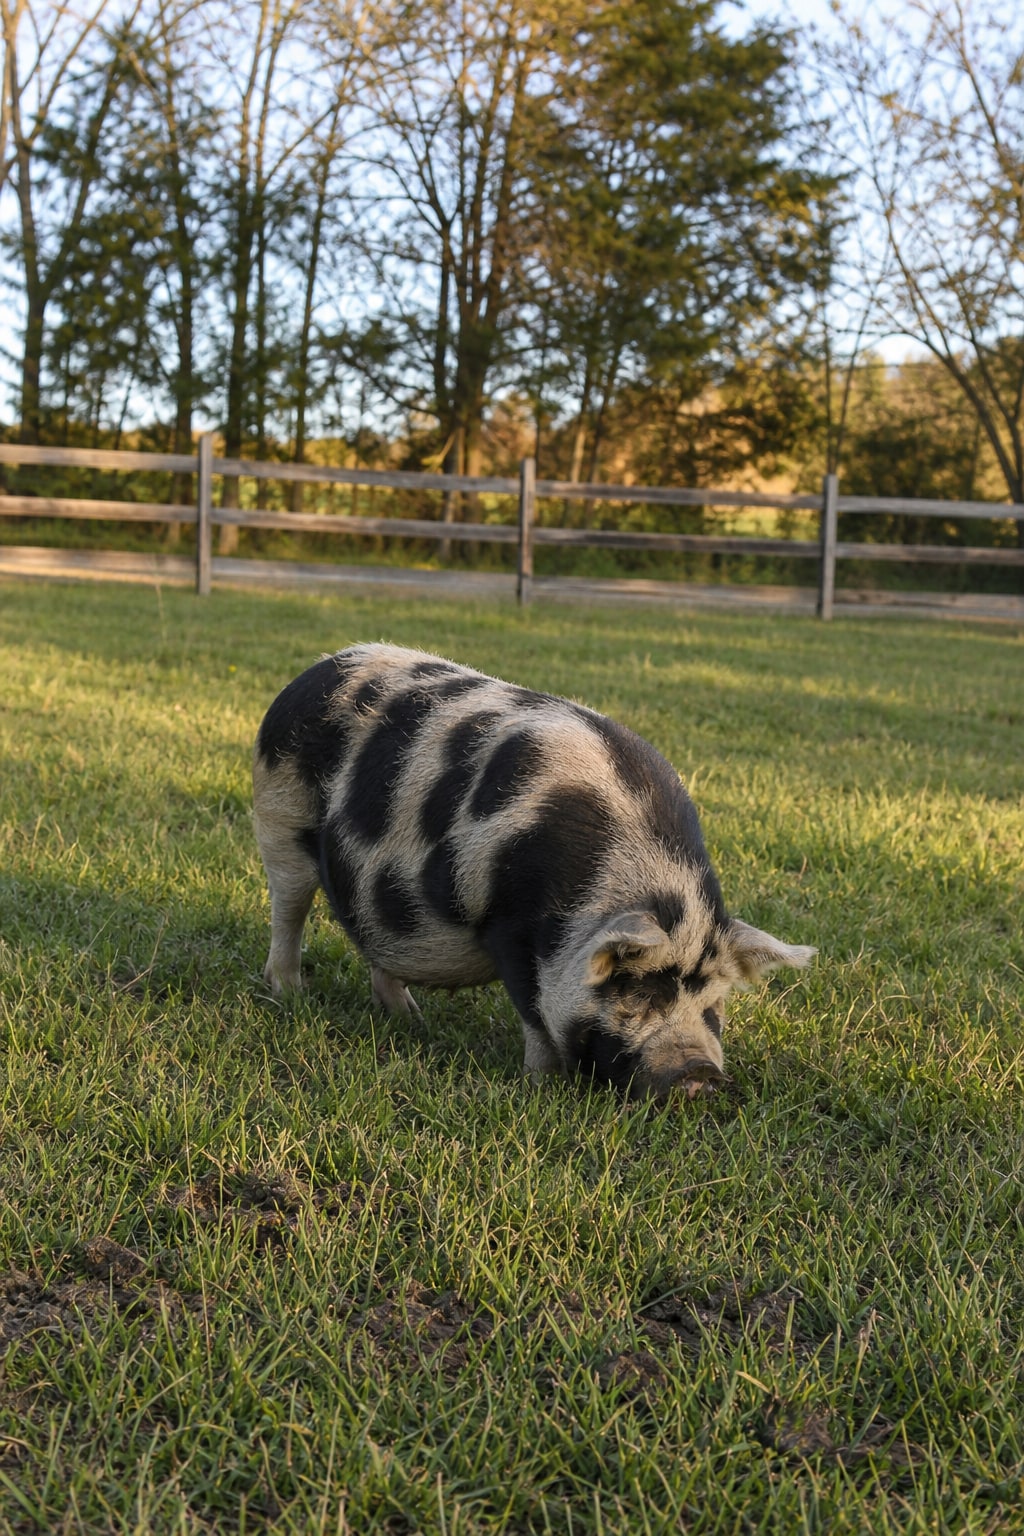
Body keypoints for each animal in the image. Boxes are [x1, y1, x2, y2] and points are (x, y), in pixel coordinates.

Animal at [252, 644, 814, 1100]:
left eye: (713, 1002)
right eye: (635, 991)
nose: (700, 1075)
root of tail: (312, 672)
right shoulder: (511, 926)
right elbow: (536, 1011)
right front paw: (540, 1085)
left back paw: (410, 1019)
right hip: (279, 816)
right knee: (288, 910)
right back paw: (290, 994)